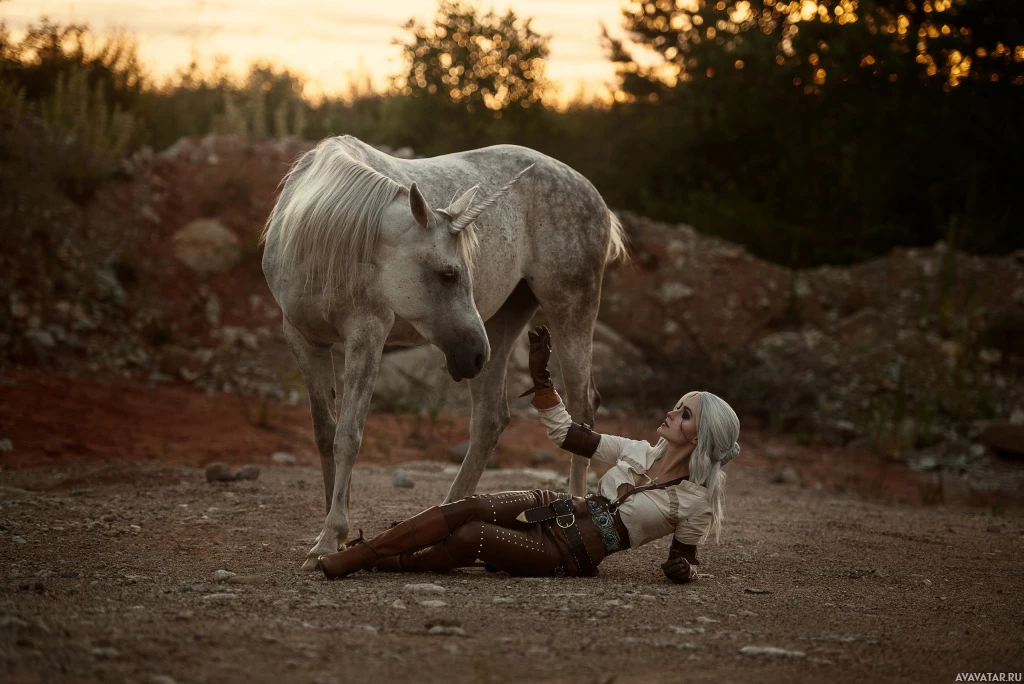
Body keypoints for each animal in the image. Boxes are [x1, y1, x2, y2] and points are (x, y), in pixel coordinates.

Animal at [260, 133, 622, 565]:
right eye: (449, 274)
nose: (474, 352)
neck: (321, 238)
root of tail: (594, 195)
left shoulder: (367, 334)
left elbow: (348, 436)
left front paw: (333, 535)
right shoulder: (303, 338)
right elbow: (324, 434)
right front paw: (332, 538)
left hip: (569, 310)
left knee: (582, 408)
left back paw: (574, 509)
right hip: (502, 321)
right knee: (489, 420)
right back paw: (451, 515)